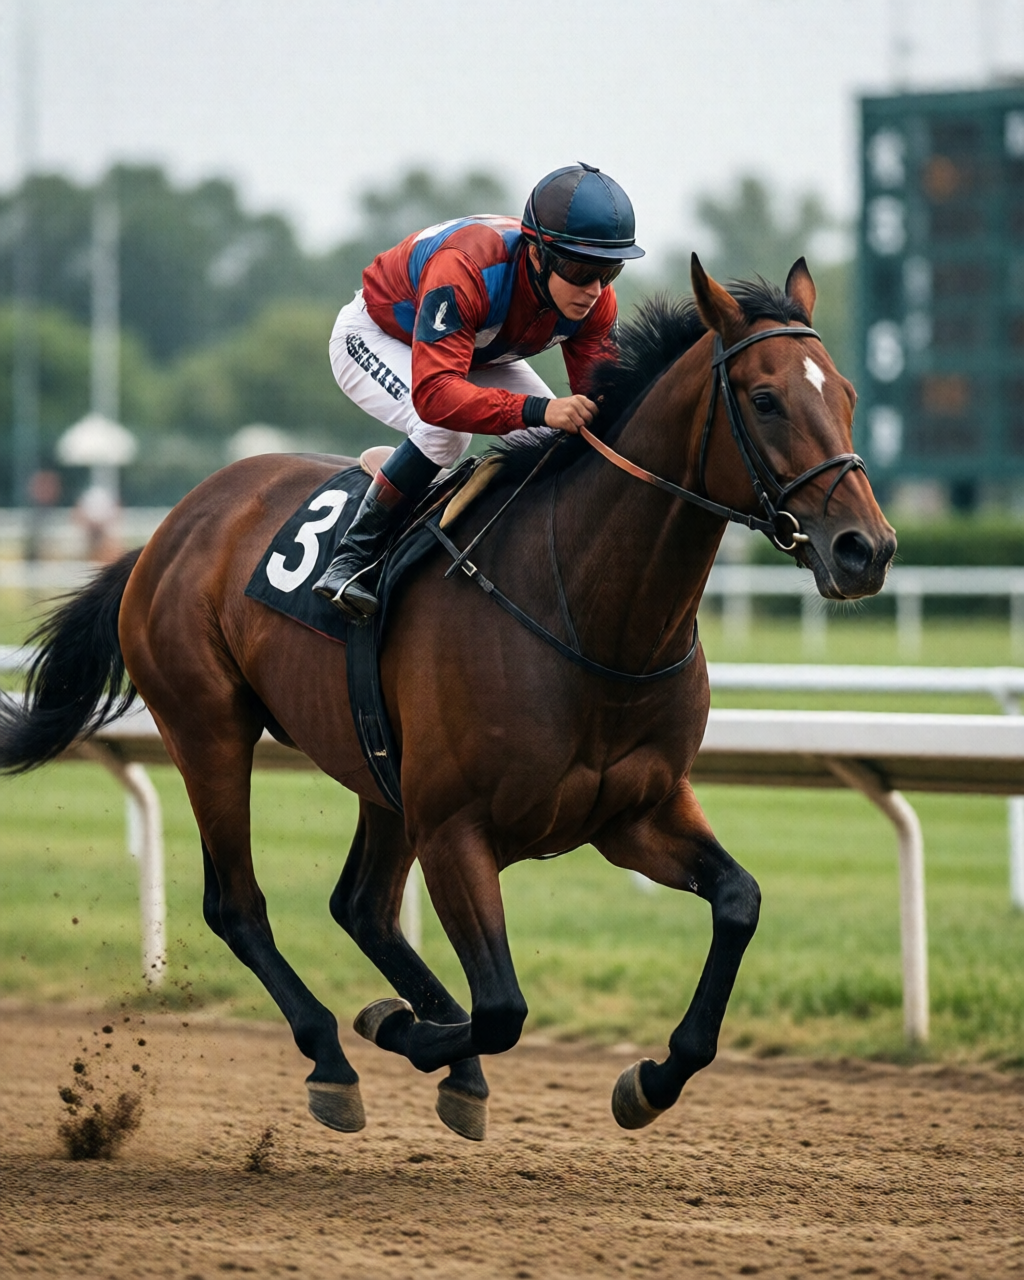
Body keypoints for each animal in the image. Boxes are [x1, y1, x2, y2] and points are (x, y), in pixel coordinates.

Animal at [0, 256, 895, 1142]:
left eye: (849, 394)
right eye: (766, 399)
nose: (867, 549)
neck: (590, 616)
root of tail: (166, 531)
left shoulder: (634, 813)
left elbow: (738, 903)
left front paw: (650, 1078)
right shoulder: (457, 827)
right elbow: (501, 1007)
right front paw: (396, 1026)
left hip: (380, 772)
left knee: (360, 906)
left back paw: (445, 1062)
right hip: (208, 729)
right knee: (239, 905)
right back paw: (334, 1054)